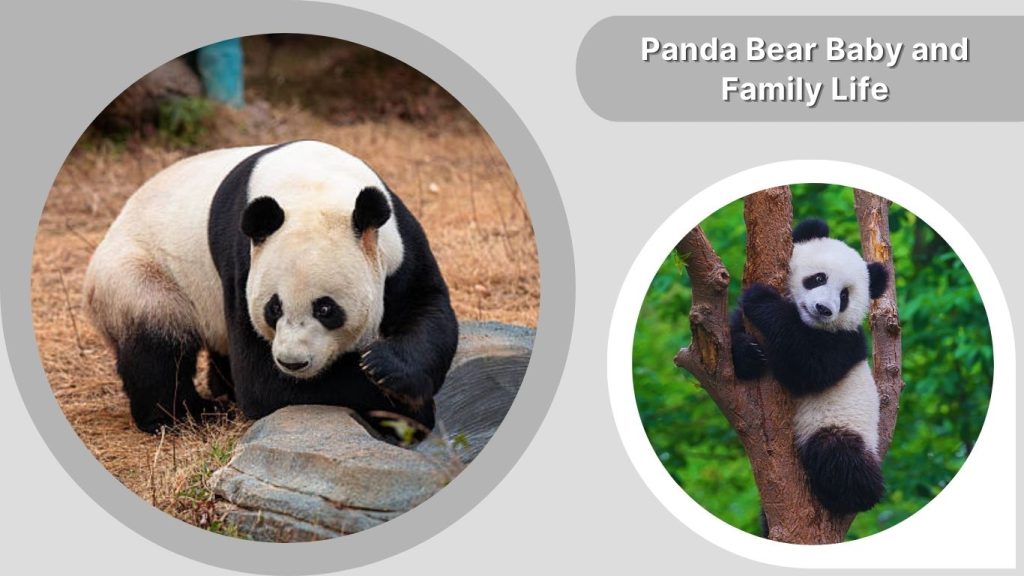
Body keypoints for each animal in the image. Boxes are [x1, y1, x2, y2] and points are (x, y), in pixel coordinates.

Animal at [83, 140, 458, 434]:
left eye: (326, 308)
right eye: (273, 308)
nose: (293, 363)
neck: (312, 185)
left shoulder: (398, 247)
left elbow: (429, 309)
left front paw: (387, 369)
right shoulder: (242, 263)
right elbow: (261, 382)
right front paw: (410, 408)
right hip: (140, 272)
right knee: (157, 341)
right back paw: (187, 415)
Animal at [730, 218, 889, 515]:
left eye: (844, 295)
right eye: (818, 278)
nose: (824, 309)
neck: (808, 323)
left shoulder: (845, 343)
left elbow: (807, 368)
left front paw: (761, 300)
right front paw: (749, 354)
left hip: (841, 424)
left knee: (839, 455)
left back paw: (849, 495)